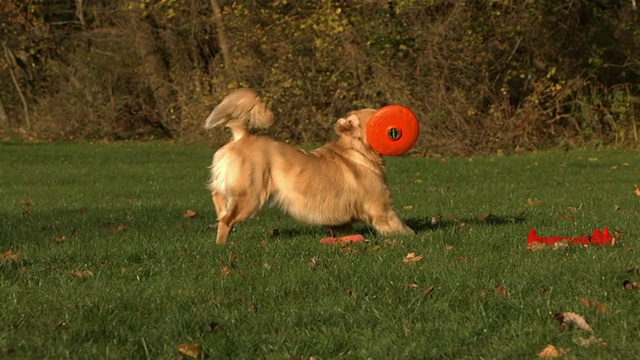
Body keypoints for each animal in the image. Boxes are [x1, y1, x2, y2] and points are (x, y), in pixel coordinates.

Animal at [205, 88, 416, 243]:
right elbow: (402, 228)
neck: (357, 151)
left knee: (219, 201)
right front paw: (413, 237)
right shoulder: (381, 208)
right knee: (227, 220)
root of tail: (242, 136)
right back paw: (222, 244)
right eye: (374, 116)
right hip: (251, 196)